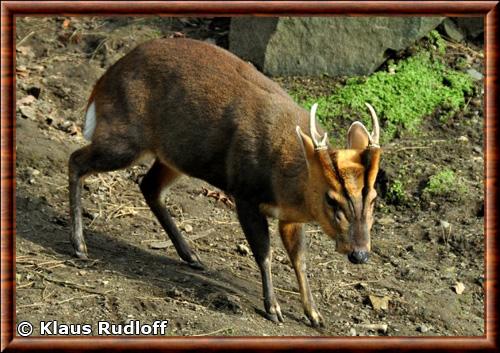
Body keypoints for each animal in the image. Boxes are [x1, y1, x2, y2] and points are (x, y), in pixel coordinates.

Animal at [69, 37, 382, 326]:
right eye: (331, 198)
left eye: (373, 198)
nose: (360, 254)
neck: (287, 179)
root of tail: (105, 79)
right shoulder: (244, 195)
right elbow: (264, 253)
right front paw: (273, 308)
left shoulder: (290, 217)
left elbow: (299, 259)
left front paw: (314, 314)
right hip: (125, 139)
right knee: (76, 160)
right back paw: (79, 245)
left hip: (176, 156)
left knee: (149, 186)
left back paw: (191, 255)